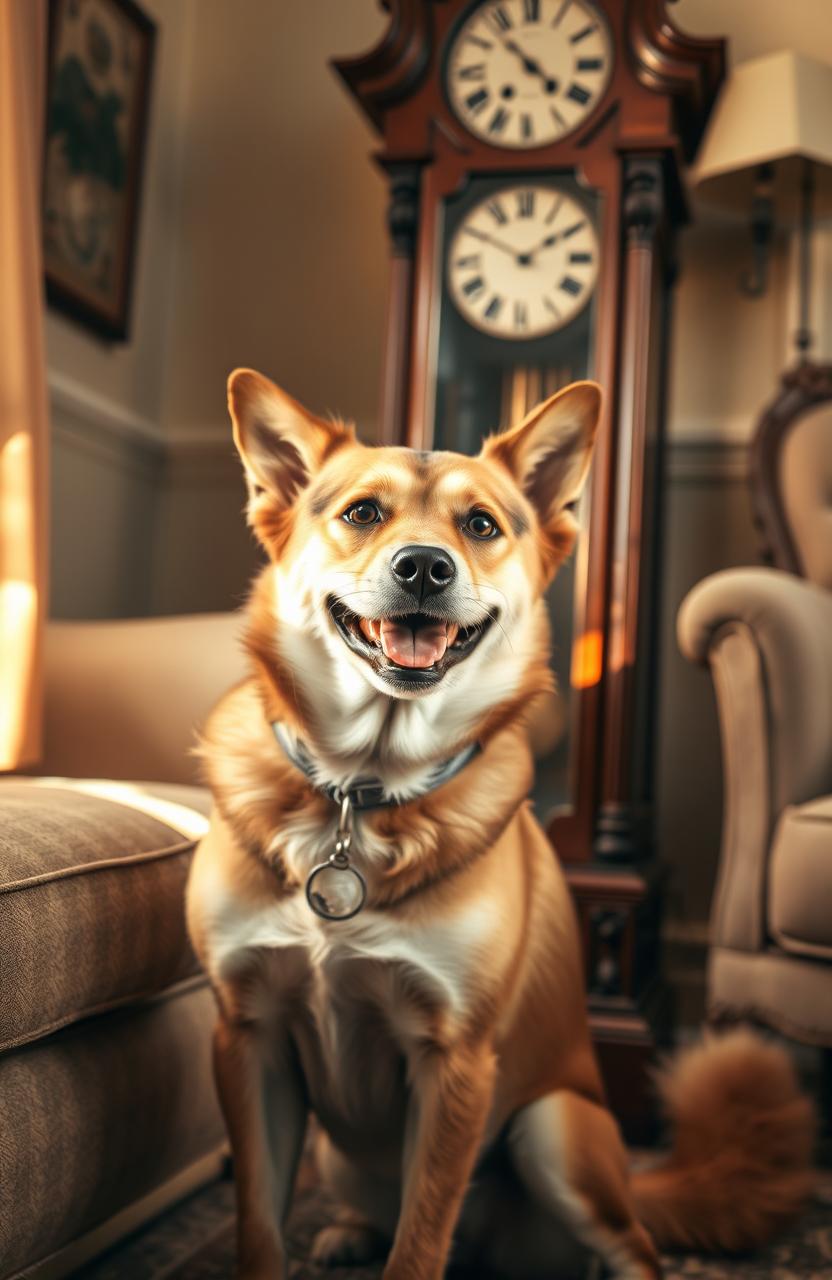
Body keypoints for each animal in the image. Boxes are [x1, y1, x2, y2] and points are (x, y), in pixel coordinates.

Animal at [186, 371, 808, 1280]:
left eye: (480, 524)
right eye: (363, 512)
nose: (424, 566)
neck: (361, 790)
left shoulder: (458, 1063)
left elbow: (420, 1241)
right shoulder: (247, 1037)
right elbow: (259, 1228)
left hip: (554, 1131)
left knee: (632, 1249)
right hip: (339, 1154)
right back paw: (347, 1234)